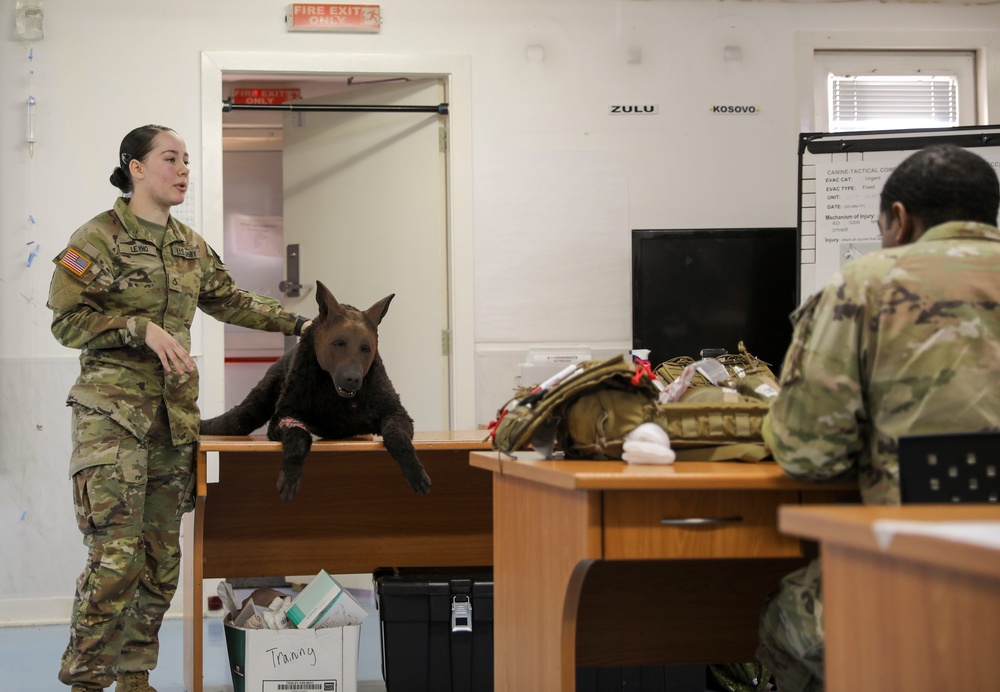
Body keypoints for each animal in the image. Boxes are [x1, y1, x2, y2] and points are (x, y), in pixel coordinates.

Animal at [201, 282, 432, 502]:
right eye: (339, 343)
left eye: (365, 348)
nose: (353, 379)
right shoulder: (284, 416)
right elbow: (299, 436)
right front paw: (291, 474)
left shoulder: (396, 412)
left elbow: (397, 436)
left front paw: (415, 470)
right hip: (251, 409)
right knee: (232, 420)